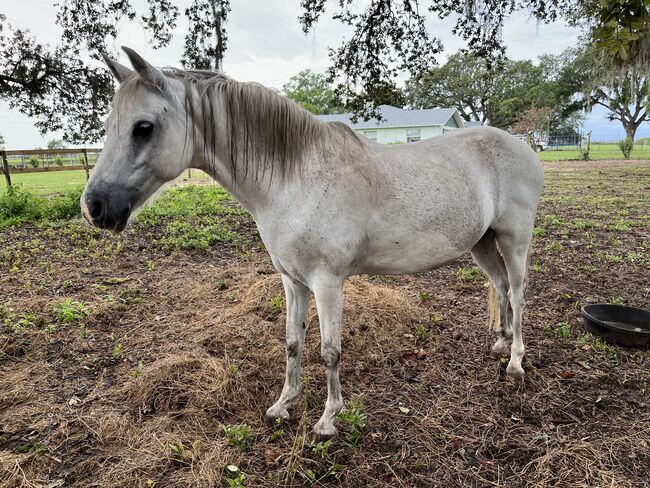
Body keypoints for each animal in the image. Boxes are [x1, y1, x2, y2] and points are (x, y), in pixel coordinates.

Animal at [83, 47, 544, 440]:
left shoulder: (327, 283)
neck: (295, 177)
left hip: (514, 240)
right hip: (482, 243)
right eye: (107, 128)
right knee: (502, 287)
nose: (94, 207)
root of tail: (523, 146)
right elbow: (293, 342)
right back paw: (501, 343)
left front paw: (327, 419)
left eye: (144, 127)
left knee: (519, 293)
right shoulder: (292, 281)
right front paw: (284, 404)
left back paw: (516, 361)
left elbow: (329, 350)